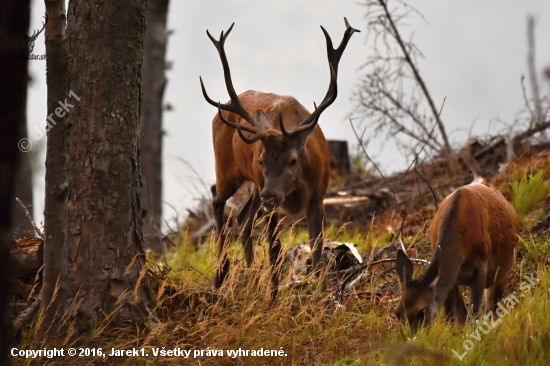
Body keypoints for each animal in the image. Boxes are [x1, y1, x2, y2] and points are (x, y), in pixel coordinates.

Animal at [201, 18, 360, 294]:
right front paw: (273, 296)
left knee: (242, 220)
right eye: (262, 160)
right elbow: (275, 254)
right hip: (228, 170)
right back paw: (221, 275)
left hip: (255, 187)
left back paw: (252, 278)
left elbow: (317, 252)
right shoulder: (272, 208)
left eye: (293, 160)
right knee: (217, 199)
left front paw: (319, 291)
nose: (271, 195)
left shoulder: (318, 199)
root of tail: (217, 115)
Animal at [394, 183, 520, 332]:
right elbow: (455, 316)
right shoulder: (453, 277)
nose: (413, 337)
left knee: (494, 303)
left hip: (501, 272)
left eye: (421, 311)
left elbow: (472, 313)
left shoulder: (482, 265)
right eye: (396, 312)